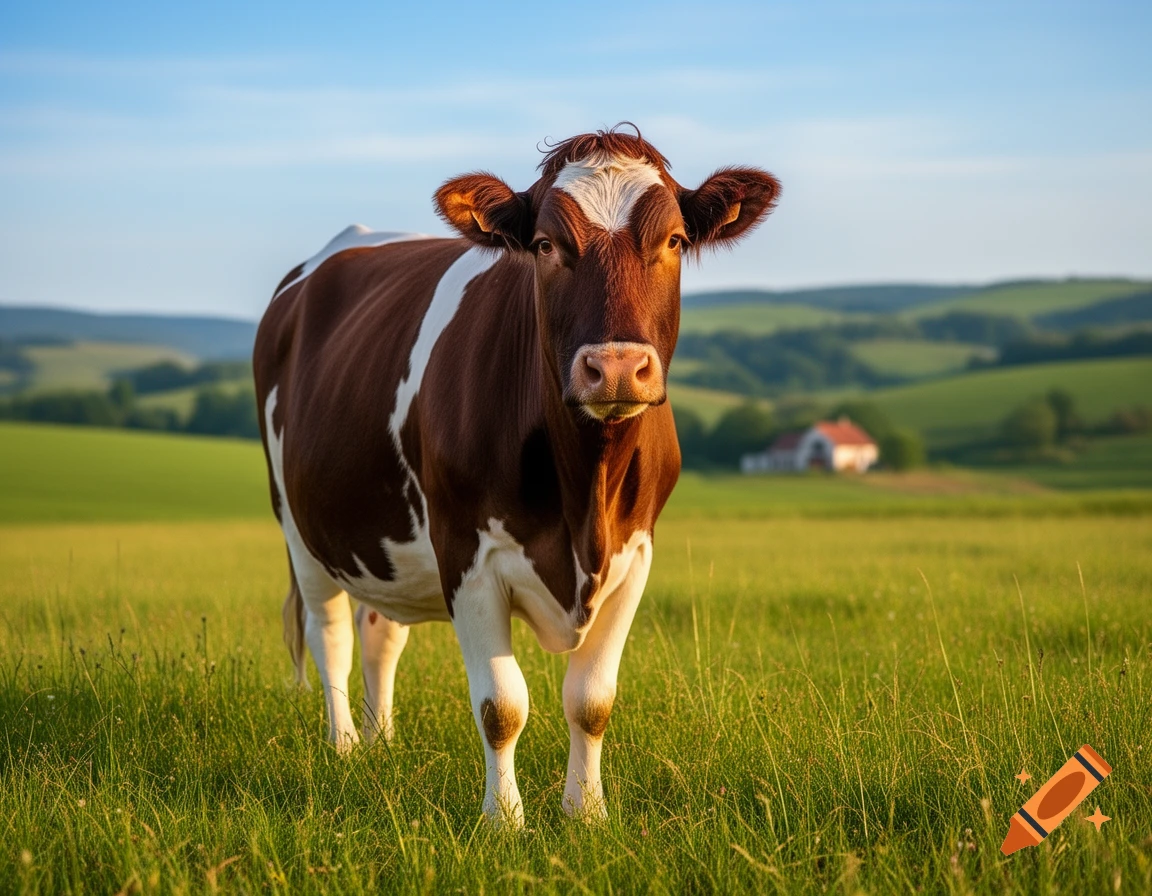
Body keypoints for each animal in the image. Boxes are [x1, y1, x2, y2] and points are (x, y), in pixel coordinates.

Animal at [253, 126, 780, 826]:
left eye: (672, 240)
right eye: (546, 245)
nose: (616, 367)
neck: (586, 492)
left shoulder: (635, 554)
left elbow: (591, 699)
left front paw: (586, 815)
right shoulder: (466, 554)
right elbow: (501, 706)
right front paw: (503, 821)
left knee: (379, 632)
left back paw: (381, 743)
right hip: (299, 525)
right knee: (330, 634)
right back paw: (343, 750)